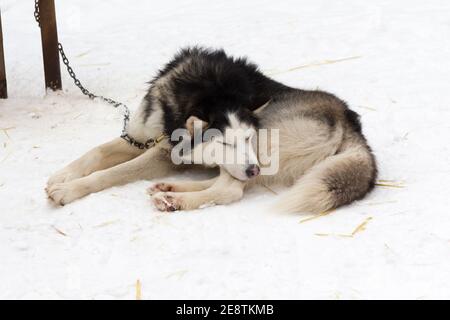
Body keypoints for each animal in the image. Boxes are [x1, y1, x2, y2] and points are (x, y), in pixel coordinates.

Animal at [45, 47, 376, 212]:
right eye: (226, 143)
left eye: (246, 138)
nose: (255, 170)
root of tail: (349, 119)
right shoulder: (142, 135)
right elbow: (97, 152)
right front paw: (63, 175)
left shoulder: (164, 154)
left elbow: (111, 173)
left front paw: (69, 190)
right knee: (223, 182)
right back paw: (169, 190)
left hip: (266, 141)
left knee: (230, 190)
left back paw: (177, 200)